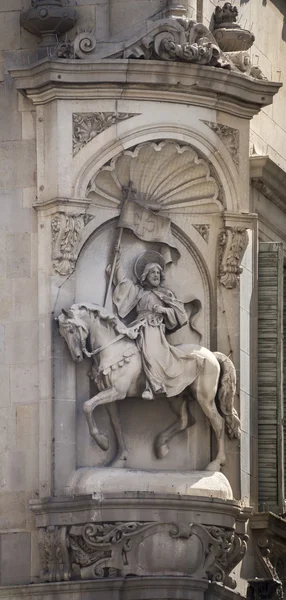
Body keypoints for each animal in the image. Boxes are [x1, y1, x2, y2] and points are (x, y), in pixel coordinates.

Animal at [57, 302, 240, 472]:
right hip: (176, 396)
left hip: (204, 397)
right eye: (62, 335)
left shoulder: (117, 392)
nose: (77, 356)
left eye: (71, 330)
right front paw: (119, 458)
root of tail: (212, 355)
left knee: (218, 422)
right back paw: (161, 445)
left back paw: (215, 463)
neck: (114, 349)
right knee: (186, 420)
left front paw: (102, 442)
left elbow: (86, 406)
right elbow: (115, 422)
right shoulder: (109, 395)